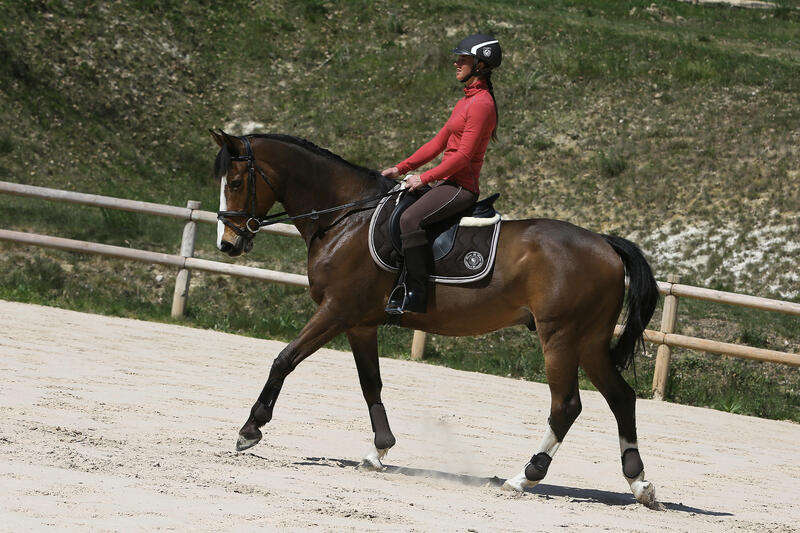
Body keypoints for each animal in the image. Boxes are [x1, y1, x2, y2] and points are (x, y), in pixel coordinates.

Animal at [209, 129, 660, 508]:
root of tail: (604, 243)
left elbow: (284, 359)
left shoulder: (335, 311)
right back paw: (639, 483)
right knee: (621, 397)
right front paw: (379, 448)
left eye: (236, 183)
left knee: (566, 406)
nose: (227, 244)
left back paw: (525, 476)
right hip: (589, 341)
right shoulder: (359, 323)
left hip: (561, 338)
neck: (347, 219)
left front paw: (250, 429)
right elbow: (370, 384)